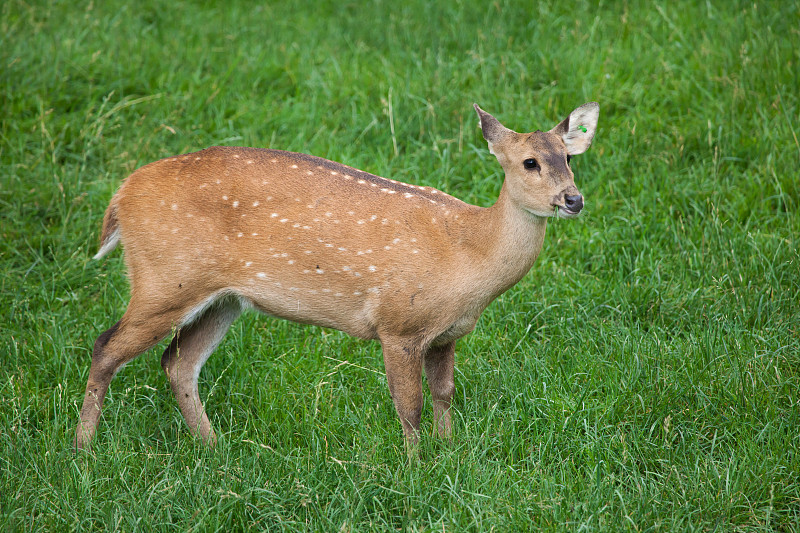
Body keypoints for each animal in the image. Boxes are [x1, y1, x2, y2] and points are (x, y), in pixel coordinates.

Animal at [75, 102, 599, 452]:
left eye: (569, 158)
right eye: (530, 162)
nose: (573, 199)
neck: (470, 253)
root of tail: (121, 196)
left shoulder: (447, 334)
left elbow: (445, 394)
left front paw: (449, 453)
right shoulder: (398, 324)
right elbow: (409, 406)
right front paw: (417, 469)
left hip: (223, 297)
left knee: (177, 362)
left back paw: (215, 447)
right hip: (164, 276)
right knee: (105, 347)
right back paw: (82, 451)